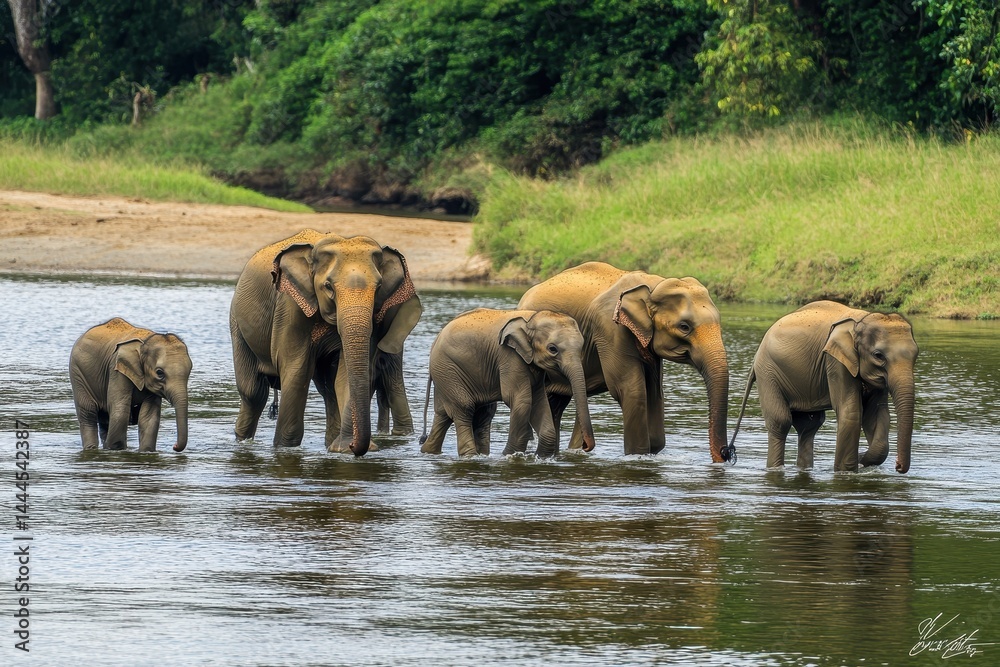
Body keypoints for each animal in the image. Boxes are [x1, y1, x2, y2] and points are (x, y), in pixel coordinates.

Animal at [69, 317, 191, 452]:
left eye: (190, 370)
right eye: (160, 373)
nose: (174, 446)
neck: (145, 342)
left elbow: (149, 417)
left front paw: (146, 451)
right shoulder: (116, 370)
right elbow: (120, 412)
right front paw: (116, 450)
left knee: (104, 420)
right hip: (78, 373)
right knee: (88, 415)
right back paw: (91, 448)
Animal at [230, 229, 422, 455]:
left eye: (379, 287)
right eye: (328, 286)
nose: (356, 447)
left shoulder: (376, 317)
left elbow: (346, 373)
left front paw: (343, 449)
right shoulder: (290, 305)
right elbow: (297, 369)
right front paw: (285, 448)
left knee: (327, 388)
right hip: (237, 323)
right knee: (253, 392)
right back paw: (242, 442)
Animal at [419, 308, 597, 457]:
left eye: (581, 347)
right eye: (553, 349)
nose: (585, 446)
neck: (532, 317)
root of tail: (435, 341)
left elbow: (539, 400)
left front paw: (541, 457)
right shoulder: (509, 356)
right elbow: (521, 401)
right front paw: (510, 455)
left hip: (448, 374)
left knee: (454, 414)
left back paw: (429, 451)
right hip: (448, 369)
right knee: (464, 409)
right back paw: (470, 456)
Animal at [518, 262, 731, 460]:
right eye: (684, 327)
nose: (726, 453)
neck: (654, 283)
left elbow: (655, 393)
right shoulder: (610, 329)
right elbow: (632, 390)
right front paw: (637, 456)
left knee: (555, 403)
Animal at [729, 300, 918, 473]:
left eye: (916, 354)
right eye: (878, 355)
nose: (898, 466)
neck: (860, 320)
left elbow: (878, 413)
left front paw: (862, 460)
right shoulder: (835, 359)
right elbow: (850, 411)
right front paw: (848, 469)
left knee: (808, 426)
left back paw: (804, 469)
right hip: (768, 372)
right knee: (780, 422)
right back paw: (776, 469)